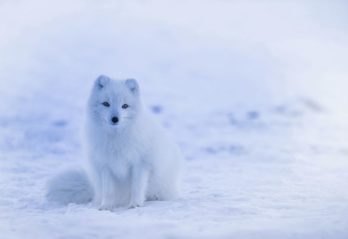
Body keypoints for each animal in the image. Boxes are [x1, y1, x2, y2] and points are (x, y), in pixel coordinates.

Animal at [47, 75, 184, 209]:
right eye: (106, 103)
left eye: (125, 106)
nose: (115, 119)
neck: (116, 138)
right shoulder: (105, 166)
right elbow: (108, 191)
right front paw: (106, 206)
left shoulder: (140, 164)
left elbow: (137, 187)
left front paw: (135, 204)